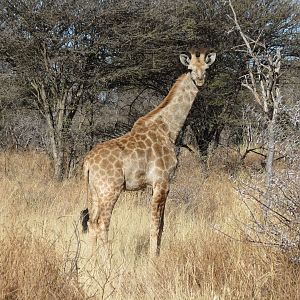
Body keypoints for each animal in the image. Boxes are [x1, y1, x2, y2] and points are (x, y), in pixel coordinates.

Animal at [79, 48, 216, 256]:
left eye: (206, 68)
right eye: (190, 69)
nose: (200, 81)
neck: (169, 129)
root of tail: (87, 162)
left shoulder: (160, 184)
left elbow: (162, 224)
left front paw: (157, 254)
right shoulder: (162, 181)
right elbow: (155, 224)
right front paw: (153, 258)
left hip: (95, 190)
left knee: (92, 222)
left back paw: (91, 259)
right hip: (110, 189)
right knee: (102, 222)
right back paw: (107, 260)